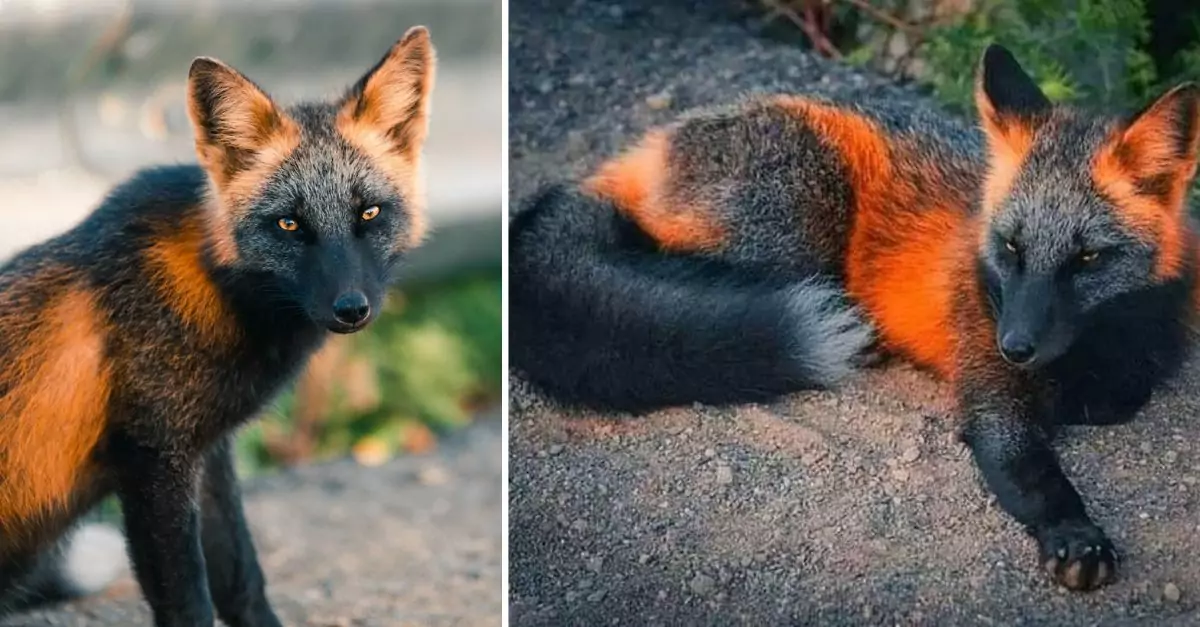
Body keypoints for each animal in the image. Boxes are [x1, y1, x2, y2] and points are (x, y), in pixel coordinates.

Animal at [0, 26, 439, 619]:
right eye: (289, 224)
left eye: (368, 213)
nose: (351, 308)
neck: (215, 289)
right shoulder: (154, 461)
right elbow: (190, 602)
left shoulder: (207, 455)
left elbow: (242, 579)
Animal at [511, 45, 1200, 590]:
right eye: (1010, 248)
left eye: (1087, 259)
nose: (1016, 346)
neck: (1096, 347)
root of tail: (650, 145)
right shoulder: (989, 390)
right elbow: (1032, 473)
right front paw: (1074, 533)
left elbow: (1121, 396)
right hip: (800, 218)